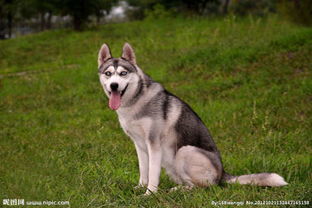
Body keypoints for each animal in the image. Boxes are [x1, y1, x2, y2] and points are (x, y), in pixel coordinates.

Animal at [98, 42, 288, 195]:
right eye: (108, 73)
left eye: (123, 73)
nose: (114, 85)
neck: (135, 101)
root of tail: (222, 173)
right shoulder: (139, 144)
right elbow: (144, 170)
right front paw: (140, 187)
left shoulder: (154, 144)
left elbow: (152, 173)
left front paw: (149, 194)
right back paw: (178, 188)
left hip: (185, 151)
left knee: (205, 187)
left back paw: (181, 190)